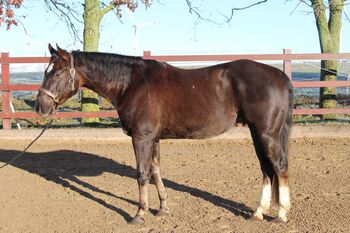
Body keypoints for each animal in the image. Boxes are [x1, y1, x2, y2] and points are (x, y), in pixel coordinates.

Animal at [36, 44, 292, 225]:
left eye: (57, 73)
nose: (41, 106)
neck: (132, 83)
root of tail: (279, 75)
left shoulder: (141, 138)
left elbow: (141, 174)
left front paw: (139, 214)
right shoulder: (154, 139)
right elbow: (156, 172)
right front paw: (162, 208)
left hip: (266, 134)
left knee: (279, 167)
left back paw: (280, 214)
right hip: (257, 134)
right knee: (266, 169)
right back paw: (258, 212)